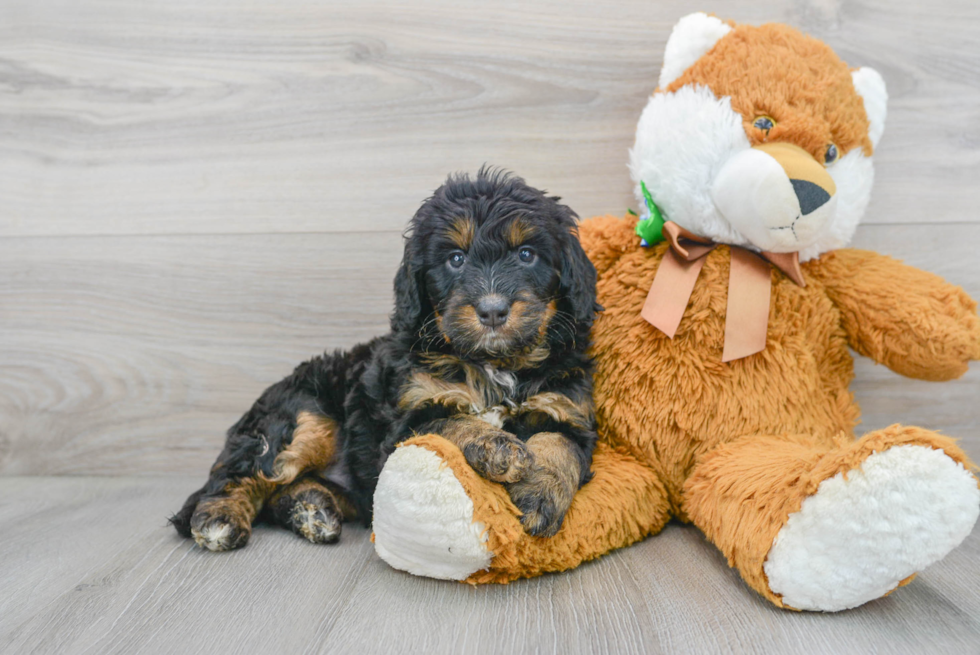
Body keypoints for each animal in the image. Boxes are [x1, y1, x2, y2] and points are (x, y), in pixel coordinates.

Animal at [172, 168, 600, 548]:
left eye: (527, 254)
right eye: (456, 259)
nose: (493, 310)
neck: (495, 363)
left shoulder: (566, 407)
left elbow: (559, 445)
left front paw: (539, 495)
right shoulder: (409, 417)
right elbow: (451, 423)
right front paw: (498, 446)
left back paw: (310, 509)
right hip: (301, 417)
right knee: (243, 472)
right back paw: (220, 516)